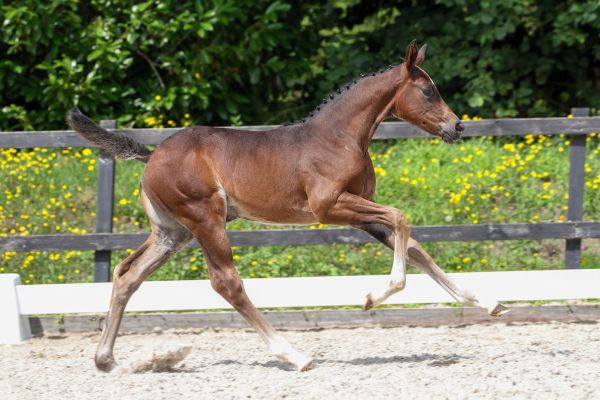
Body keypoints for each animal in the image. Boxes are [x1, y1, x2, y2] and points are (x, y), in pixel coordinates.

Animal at [68, 39, 508, 372]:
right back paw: (295, 355)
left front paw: (489, 303)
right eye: (428, 90)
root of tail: (152, 155)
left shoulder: (361, 210)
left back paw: (106, 359)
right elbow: (403, 221)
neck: (339, 137)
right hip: (205, 219)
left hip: (171, 232)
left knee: (129, 274)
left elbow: (416, 248)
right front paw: (372, 298)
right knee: (225, 282)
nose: (457, 126)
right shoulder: (330, 208)